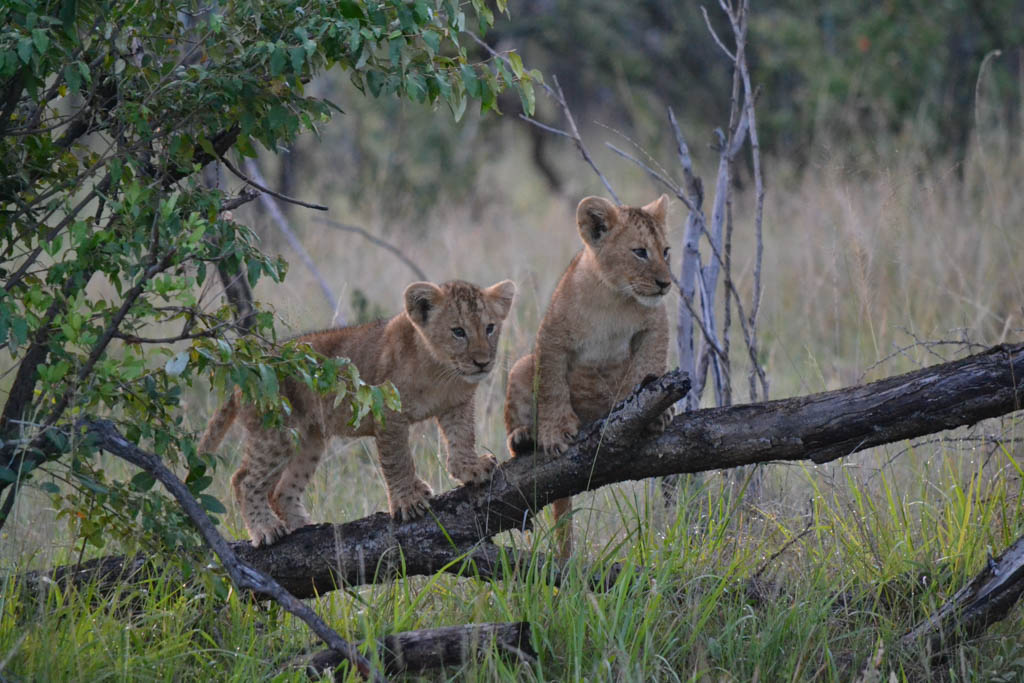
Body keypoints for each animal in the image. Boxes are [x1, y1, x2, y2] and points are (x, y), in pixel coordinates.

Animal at [199, 279, 516, 547]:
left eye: (489, 328)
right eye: (458, 332)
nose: (482, 362)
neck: (440, 371)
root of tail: (245, 370)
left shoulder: (456, 405)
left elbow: (462, 437)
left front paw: (470, 468)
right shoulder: (388, 413)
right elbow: (397, 460)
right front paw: (408, 502)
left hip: (309, 439)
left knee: (281, 490)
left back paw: (305, 527)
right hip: (277, 433)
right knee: (243, 480)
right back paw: (265, 530)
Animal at [504, 195, 672, 556]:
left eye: (666, 251)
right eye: (640, 252)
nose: (666, 284)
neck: (615, 297)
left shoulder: (656, 325)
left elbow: (649, 365)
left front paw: (654, 412)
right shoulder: (552, 336)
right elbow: (552, 385)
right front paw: (555, 433)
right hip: (521, 365)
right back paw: (524, 438)